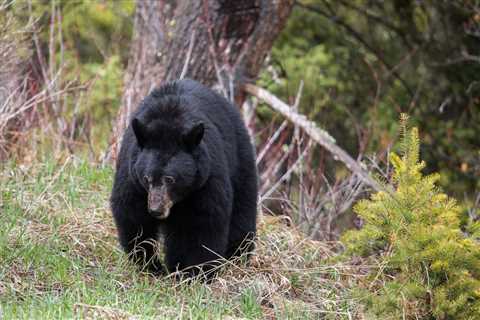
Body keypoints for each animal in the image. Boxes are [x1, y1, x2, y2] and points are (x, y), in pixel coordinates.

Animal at [110, 78, 256, 278]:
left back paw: (237, 257)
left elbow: (203, 224)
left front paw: (196, 273)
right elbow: (132, 217)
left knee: (243, 211)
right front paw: (150, 265)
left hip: (241, 159)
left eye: (170, 179)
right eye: (147, 178)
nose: (156, 210)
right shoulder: (132, 177)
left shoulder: (206, 180)